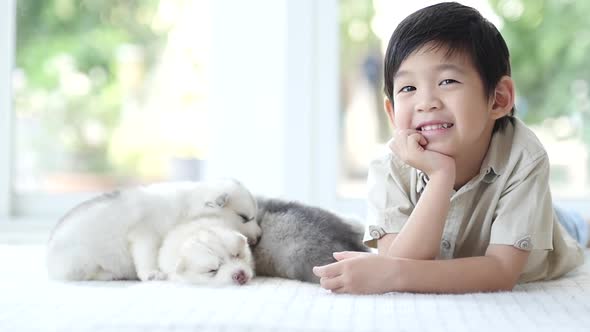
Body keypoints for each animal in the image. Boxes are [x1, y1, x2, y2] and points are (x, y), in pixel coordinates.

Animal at [45, 179, 260, 282]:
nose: (259, 236)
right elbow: (147, 256)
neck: (186, 205)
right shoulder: (145, 234)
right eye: (244, 217)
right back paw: (110, 275)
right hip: (83, 261)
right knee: (85, 275)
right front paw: (152, 274)